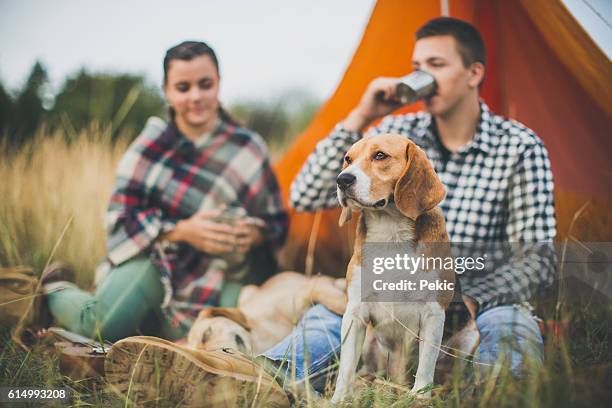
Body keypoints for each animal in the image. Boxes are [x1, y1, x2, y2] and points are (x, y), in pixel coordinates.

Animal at [330, 133, 454, 402]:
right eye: (348, 159)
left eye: (380, 155)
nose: (342, 179)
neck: (390, 233)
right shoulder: (355, 313)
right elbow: (346, 365)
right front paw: (340, 399)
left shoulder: (433, 313)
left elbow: (426, 365)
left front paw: (420, 397)